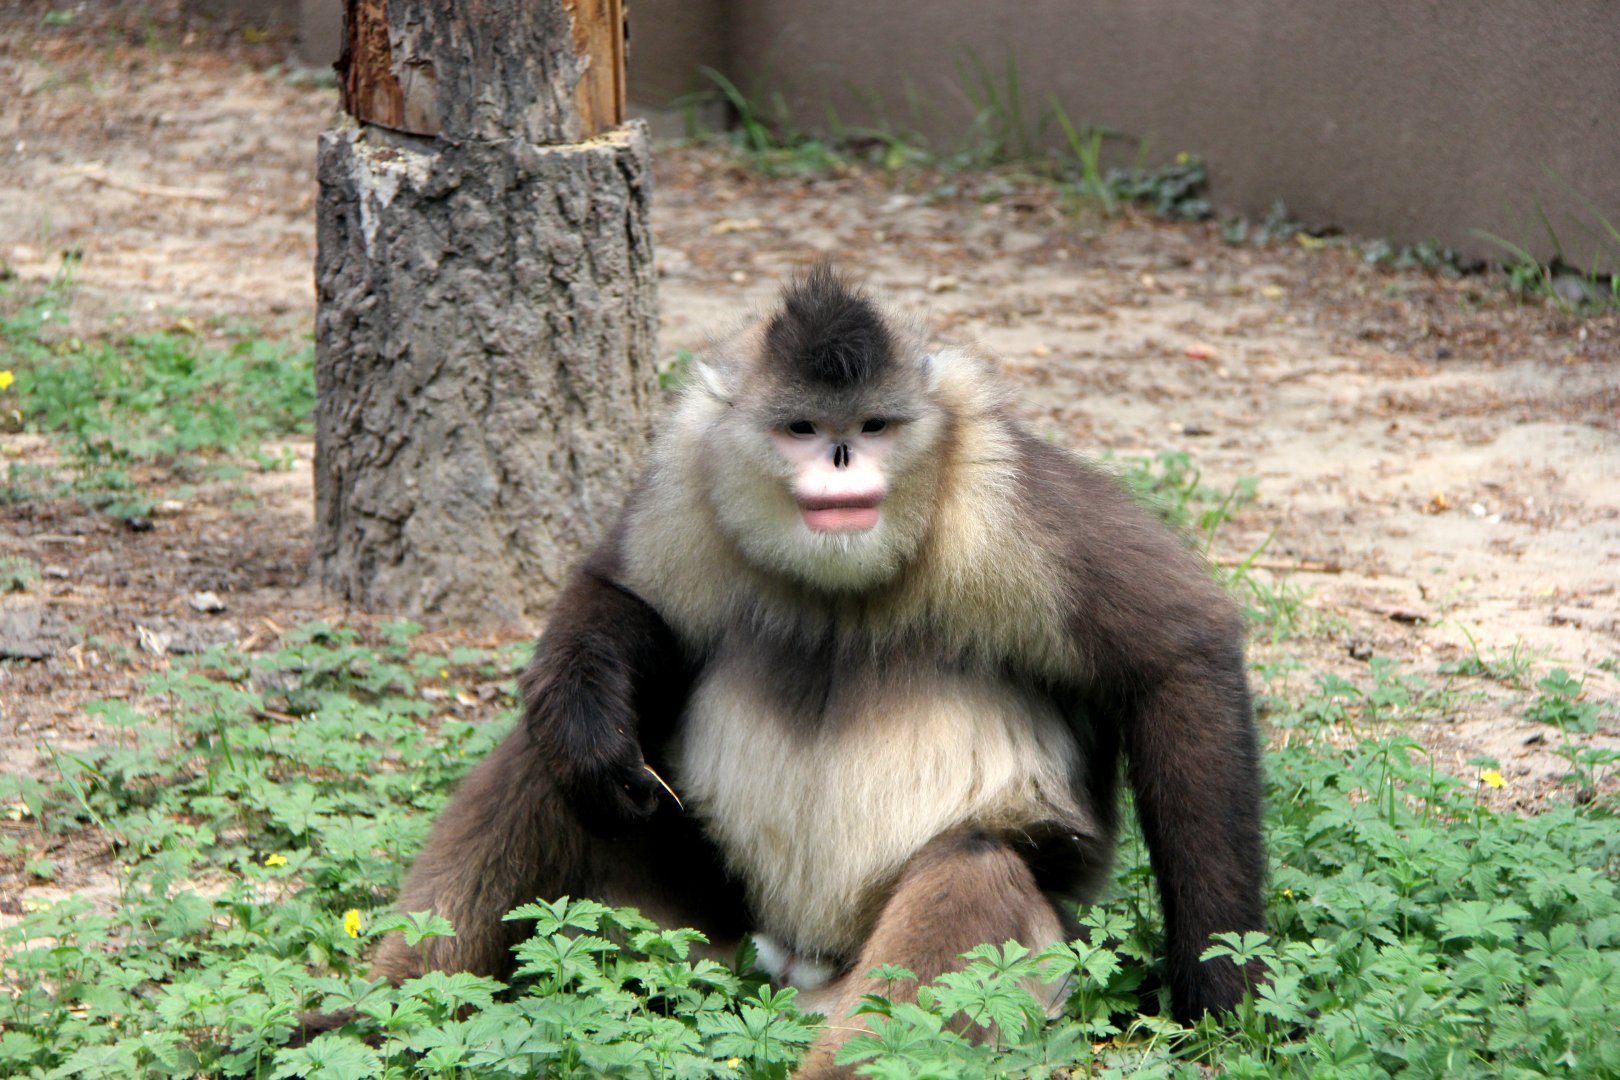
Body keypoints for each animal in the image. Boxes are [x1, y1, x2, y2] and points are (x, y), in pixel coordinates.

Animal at [360, 266, 1266, 1074]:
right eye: (801, 428)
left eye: (872, 426)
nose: (837, 458)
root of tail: (794, 970)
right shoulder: (689, 476)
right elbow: (622, 596)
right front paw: (587, 719)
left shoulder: (1004, 498)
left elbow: (1182, 650)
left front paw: (1222, 998)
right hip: (693, 934)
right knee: (549, 757)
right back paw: (372, 1016)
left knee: (974, 872)